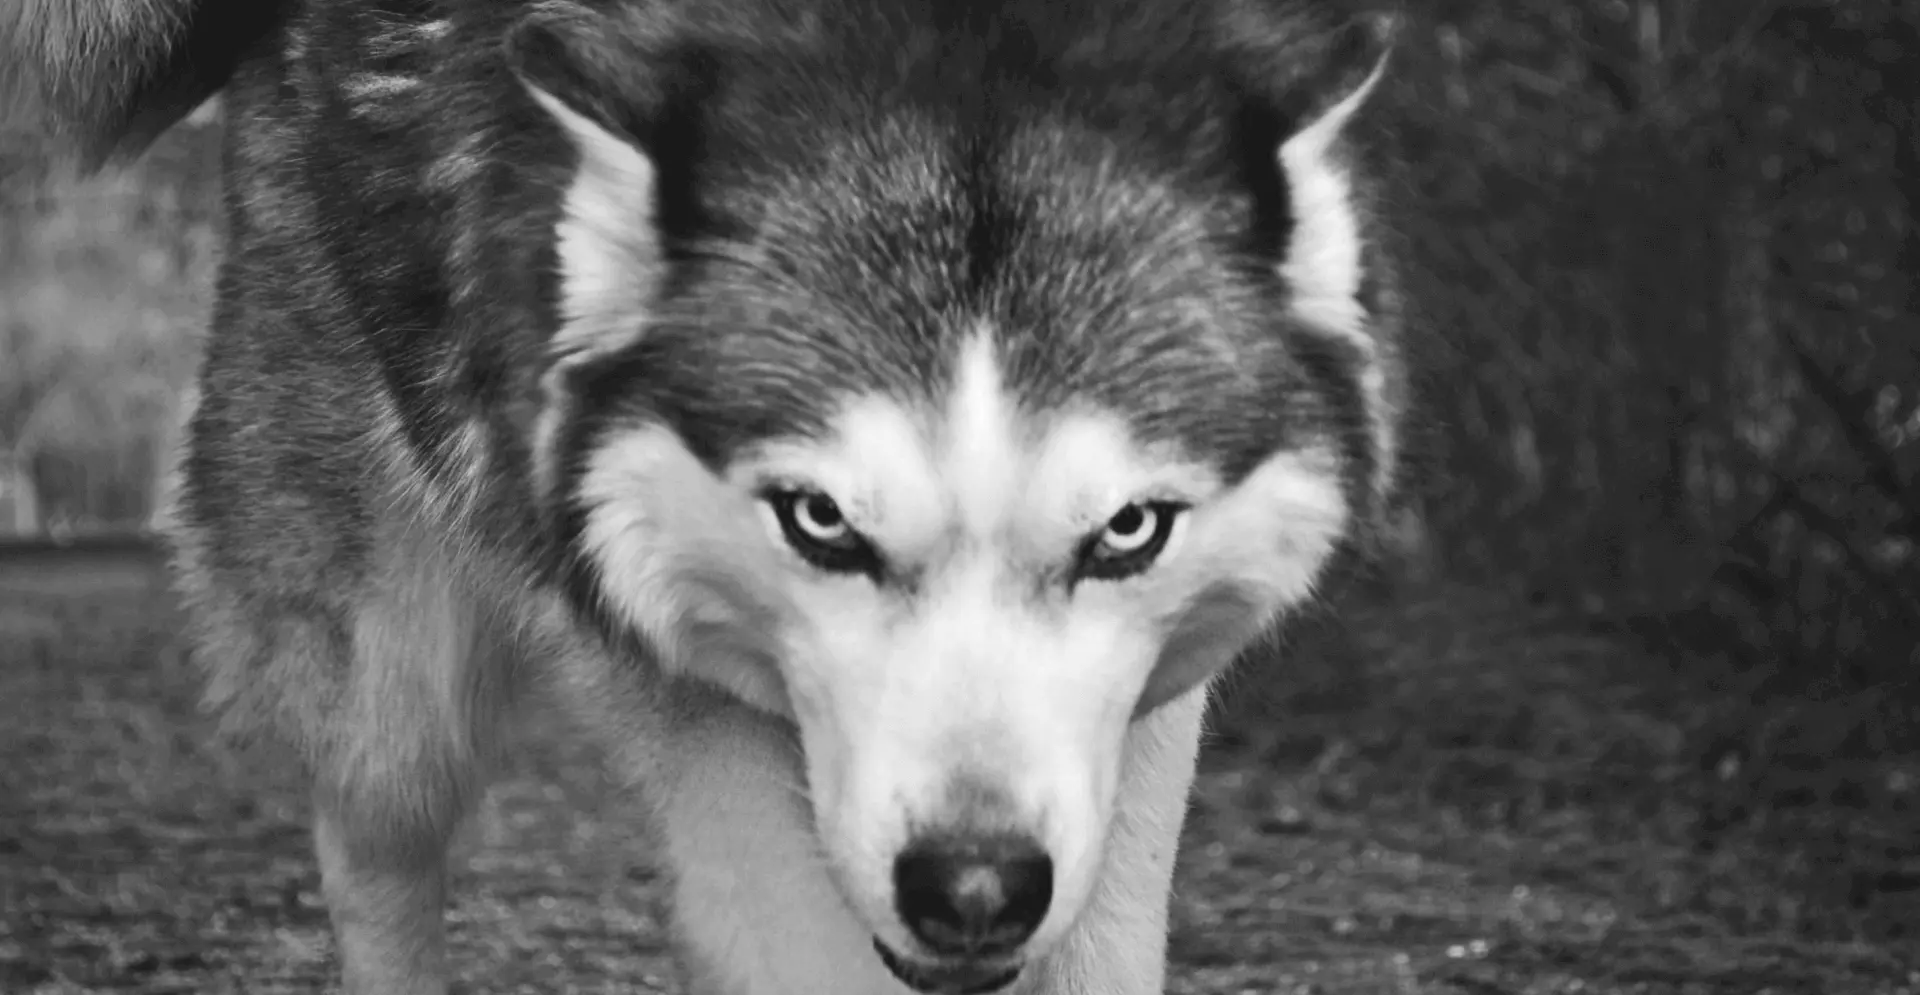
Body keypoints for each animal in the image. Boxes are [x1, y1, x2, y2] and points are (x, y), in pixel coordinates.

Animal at [3, 0, 1413, 991]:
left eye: (1126, 530)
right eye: (817, 519)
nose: (972, 885)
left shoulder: (1134, 730)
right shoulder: (681, 679)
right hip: (390, 680)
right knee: (377, 855)